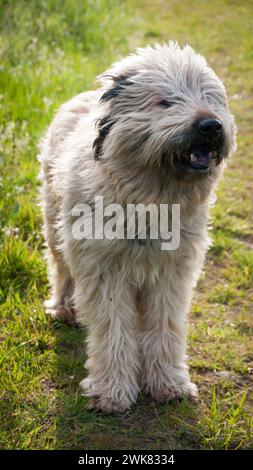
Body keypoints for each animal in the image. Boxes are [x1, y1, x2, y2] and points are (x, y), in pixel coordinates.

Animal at [38, 43, 236, 412]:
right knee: (61, 269)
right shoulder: (105, 270)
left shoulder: (171, 275)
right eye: (166, 102)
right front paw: (112, 391)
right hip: (55, 225)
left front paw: (169, 383)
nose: (211, 126)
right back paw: (64, 307)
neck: (149, 201)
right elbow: (113, 329)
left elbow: (165, 326)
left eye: (210, 97)